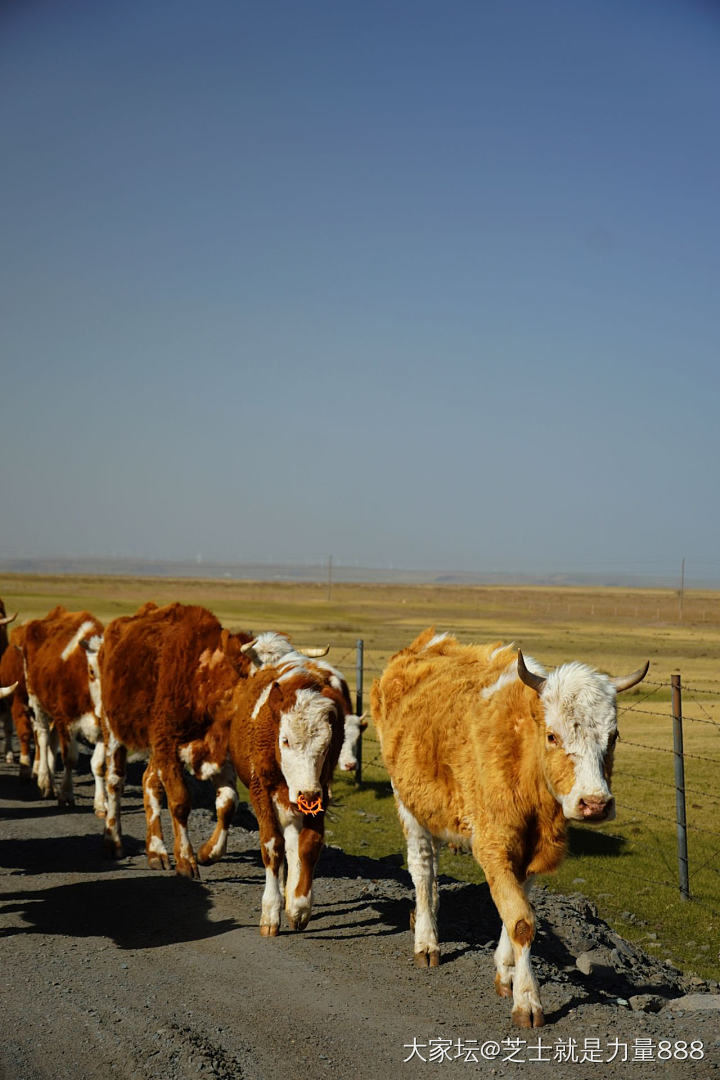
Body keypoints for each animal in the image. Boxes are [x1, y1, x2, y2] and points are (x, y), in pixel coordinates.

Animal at [11, 609, 105, 812]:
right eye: (92, 671)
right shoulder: (65, 720)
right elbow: (70, 758)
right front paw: (66, 795)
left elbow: (99, 765)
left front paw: (102, 804)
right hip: (37, 703)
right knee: (43, 738)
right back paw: (45, 782)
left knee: (51, 743)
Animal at [83, 600, 253, 876]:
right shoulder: (168, 742)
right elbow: (180, 801)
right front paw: (186, 859)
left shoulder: (216, 751)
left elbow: (228, 803)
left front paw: (208, 853)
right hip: (113, 728)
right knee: (115, 781)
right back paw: (114, 841)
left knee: (149, 781)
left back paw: (156, 851)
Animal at [371, 630, 647, 1028]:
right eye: (552, 736)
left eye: (613, 736)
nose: (594, 803)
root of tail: (426, 643)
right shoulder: (492, 845)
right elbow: (521, 921)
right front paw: (528, 1001)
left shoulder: (531, 852)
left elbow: (515, 911)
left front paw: (506, 973)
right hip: (408, 803)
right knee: (422, 868)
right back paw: (426, 941)